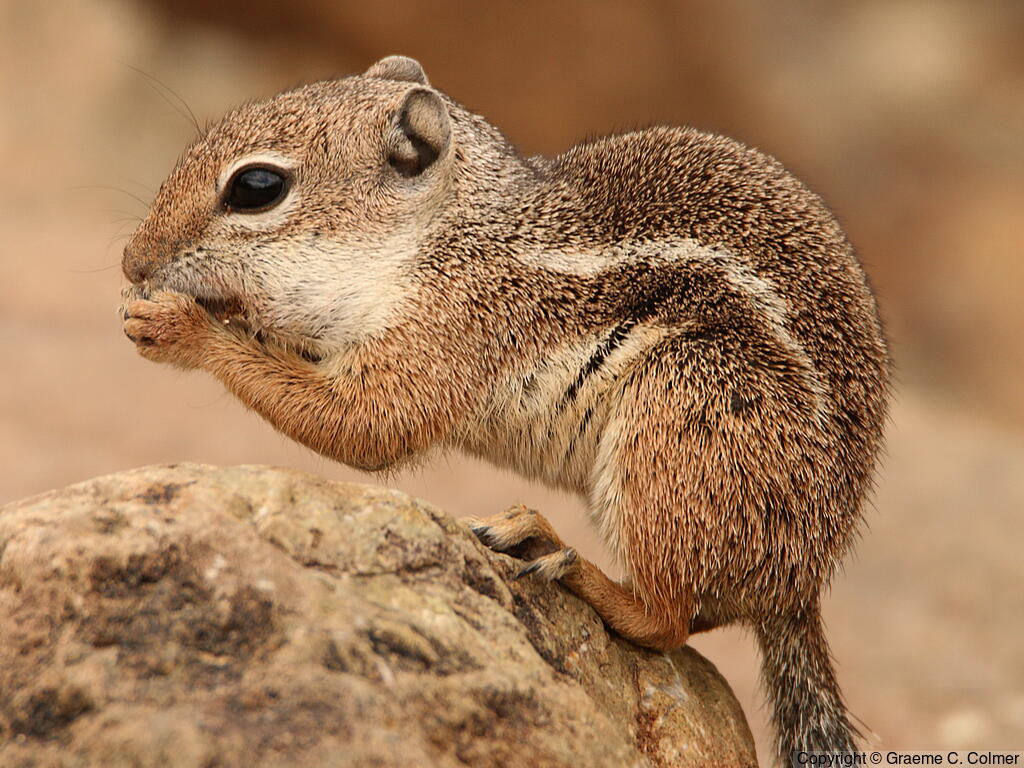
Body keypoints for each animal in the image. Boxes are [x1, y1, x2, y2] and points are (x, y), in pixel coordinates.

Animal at [121, 55, 891, 763]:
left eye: (257, 187)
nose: (132, 261)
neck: (442, 234)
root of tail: (801, 581)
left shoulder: (453, 327)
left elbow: (366, 426)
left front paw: (177, 327)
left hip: (684, 412)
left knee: (668, 621)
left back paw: (555, 554)